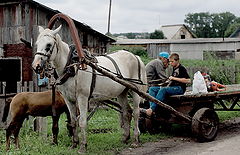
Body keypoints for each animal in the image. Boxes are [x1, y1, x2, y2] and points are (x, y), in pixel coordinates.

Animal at [31, 25, 148, 153]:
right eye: (37, 43)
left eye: (48, 45)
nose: (36, 66)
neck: (71, 66)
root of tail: (136, 57)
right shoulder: (68, 99)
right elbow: (73, 121)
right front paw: (74, 143)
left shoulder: (82, 97)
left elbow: (82, 121)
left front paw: (83, 146)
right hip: (122, 92)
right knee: (127, 112)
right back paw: (125, 138)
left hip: (135, 91)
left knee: (136, 112)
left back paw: (136, 139)